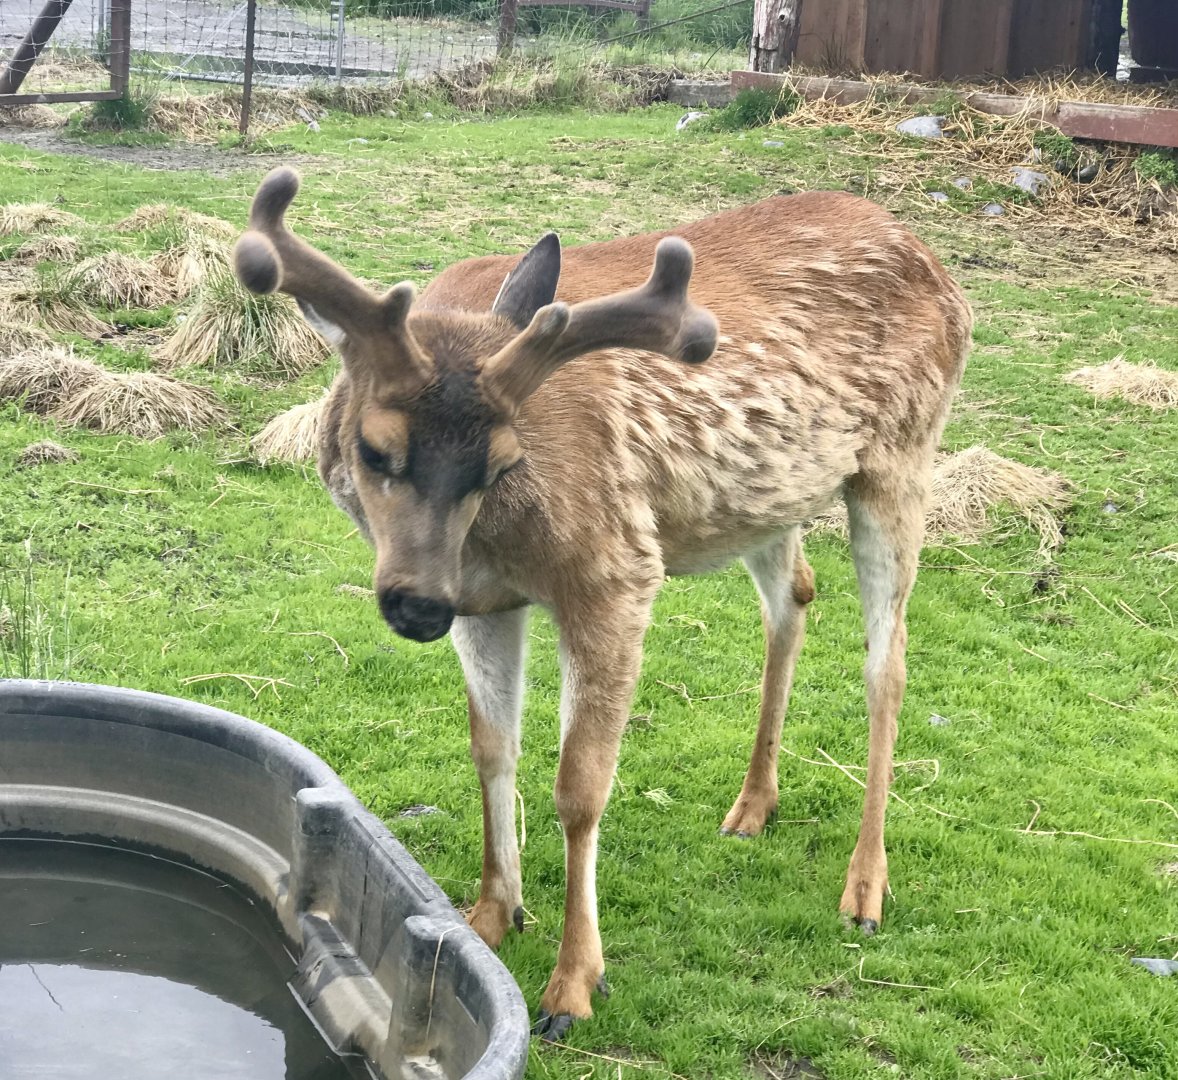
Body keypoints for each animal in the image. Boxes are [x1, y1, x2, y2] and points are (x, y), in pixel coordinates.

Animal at [234, 166, 972, 1039]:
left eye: (503, 461)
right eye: (374, 449)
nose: (417, 607)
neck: (498, 541)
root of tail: (940, 269)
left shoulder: (615, 572)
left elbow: (580, 786)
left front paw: (572, 985)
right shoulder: (486, 602)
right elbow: (492, 746)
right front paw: (490, 916)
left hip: (901, 456)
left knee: (887, 662)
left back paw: (864, 887)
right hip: (770, 500)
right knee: (793, 597)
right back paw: (752, 806)